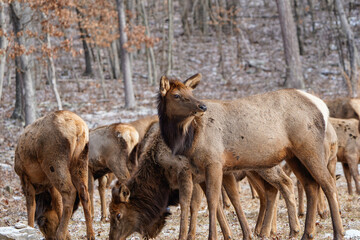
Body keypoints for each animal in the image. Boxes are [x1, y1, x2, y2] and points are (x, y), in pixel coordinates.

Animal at [14, 110, 95, 240]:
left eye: (44, 225)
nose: (48, 237)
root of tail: (79, 128)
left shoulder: (24, 177)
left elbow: (31, 206)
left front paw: (29, 228)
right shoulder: (50, 184)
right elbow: (58, 204)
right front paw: (68, 235)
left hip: (54, 162)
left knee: (69, 191)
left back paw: (60, 234)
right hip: (81, 160)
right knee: (83, 192)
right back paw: (90, 234)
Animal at [159, 74, 344, 240]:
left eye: (191, 92)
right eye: (176, 95)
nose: (202, 107)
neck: (189, 140)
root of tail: (323, 107)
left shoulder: (214, 161)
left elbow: (212, 200)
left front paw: (213, 236)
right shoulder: (202, 169)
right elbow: (207, 201)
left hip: (309, 147)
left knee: (328, 182)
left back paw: (338, 233)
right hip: (294, 156)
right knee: (310, 184)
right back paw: (307, 233)